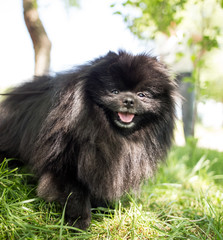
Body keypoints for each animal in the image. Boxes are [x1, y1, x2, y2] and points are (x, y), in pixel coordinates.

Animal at [0, 50, 178, 229]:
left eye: (142, 95)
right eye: (114, 91)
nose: (128, 100)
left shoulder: (103, 164)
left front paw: (105, 209)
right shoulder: (64, 163)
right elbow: (75, 193)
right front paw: (79, 222)